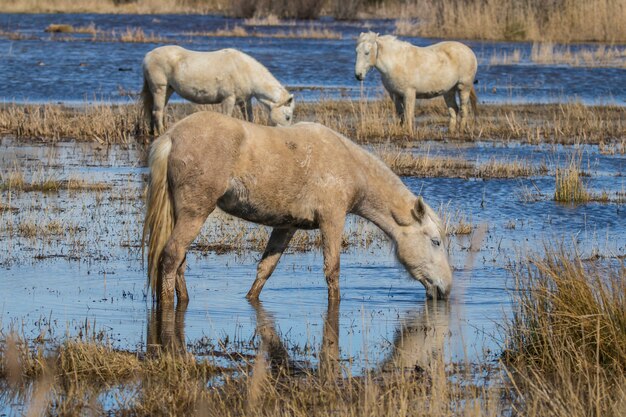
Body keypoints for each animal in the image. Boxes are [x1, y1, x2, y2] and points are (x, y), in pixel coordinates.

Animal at [140, 47, 294, 135]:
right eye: (287, 117)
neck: (244, 69)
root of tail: (148, 55)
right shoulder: (228, 99)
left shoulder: (244, 101)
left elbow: (248, 118)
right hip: (160, 89)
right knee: (157, 112)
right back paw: (161, 132)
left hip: (168, 90)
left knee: (156, 111)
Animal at [144, 110, 450, 306]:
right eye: (435, 241)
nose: (445, 289)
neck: (350, 166)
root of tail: (172, 137)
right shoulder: (332, 219)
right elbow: (332, 270)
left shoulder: (286, 226)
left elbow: (266, 269)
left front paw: (250, 298)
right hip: (195, 213)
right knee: (172, 256)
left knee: (179, 260)